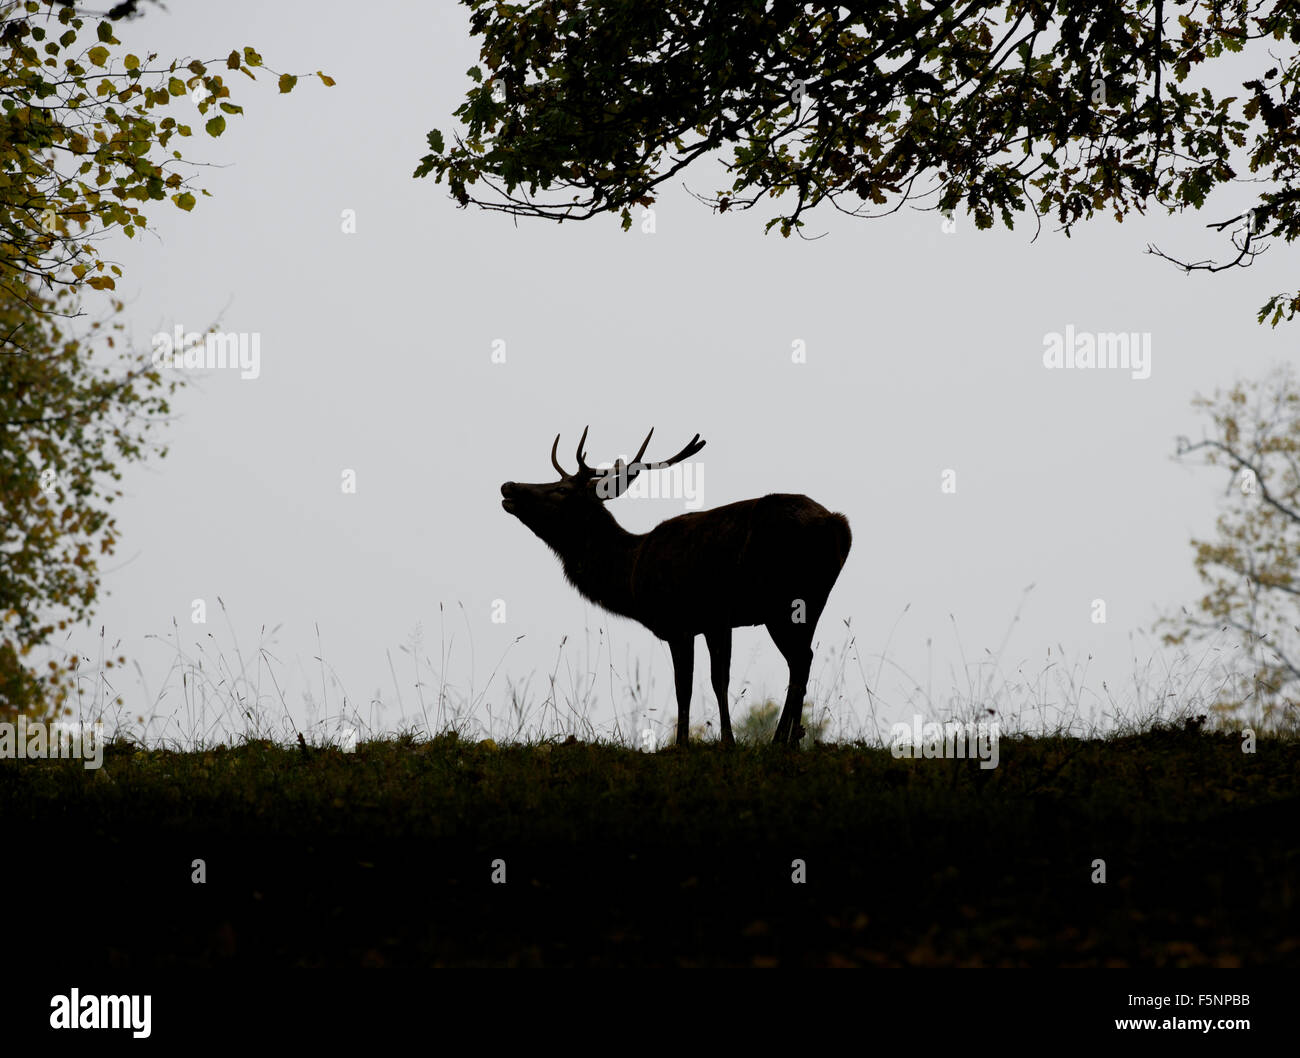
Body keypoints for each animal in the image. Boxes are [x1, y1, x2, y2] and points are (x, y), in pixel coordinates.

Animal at [500, 428, 852, 748]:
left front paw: (697, 743)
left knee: (799, 660)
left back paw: (781, 741)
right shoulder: (713, 623)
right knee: (801, 661)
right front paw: (720, 740)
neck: (630, 575)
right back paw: (789, 740)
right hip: (811, 602)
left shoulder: (683, 620)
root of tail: (838, 524)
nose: (508, 485)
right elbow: (714, 680)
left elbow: (691, 684)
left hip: (783, 601)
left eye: (560, 489)